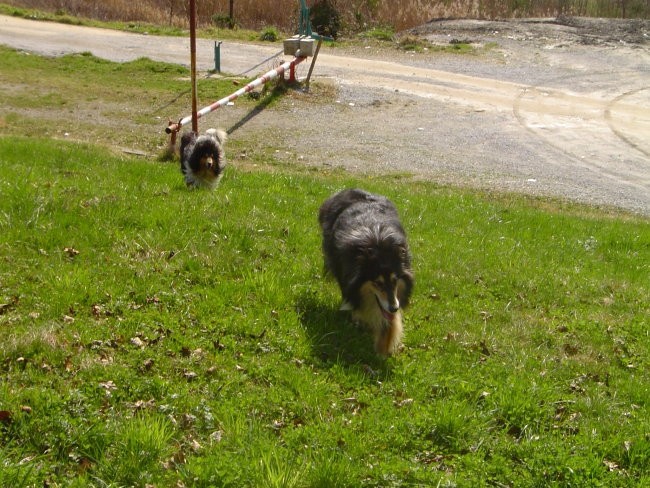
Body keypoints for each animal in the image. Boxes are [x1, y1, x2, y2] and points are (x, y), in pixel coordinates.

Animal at [316, 187, 412, 354]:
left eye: (395, 280)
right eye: (377, 283)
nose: (394, 308)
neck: (379, 245)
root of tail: (350, 189)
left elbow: (389, 322)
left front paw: (383, 348)